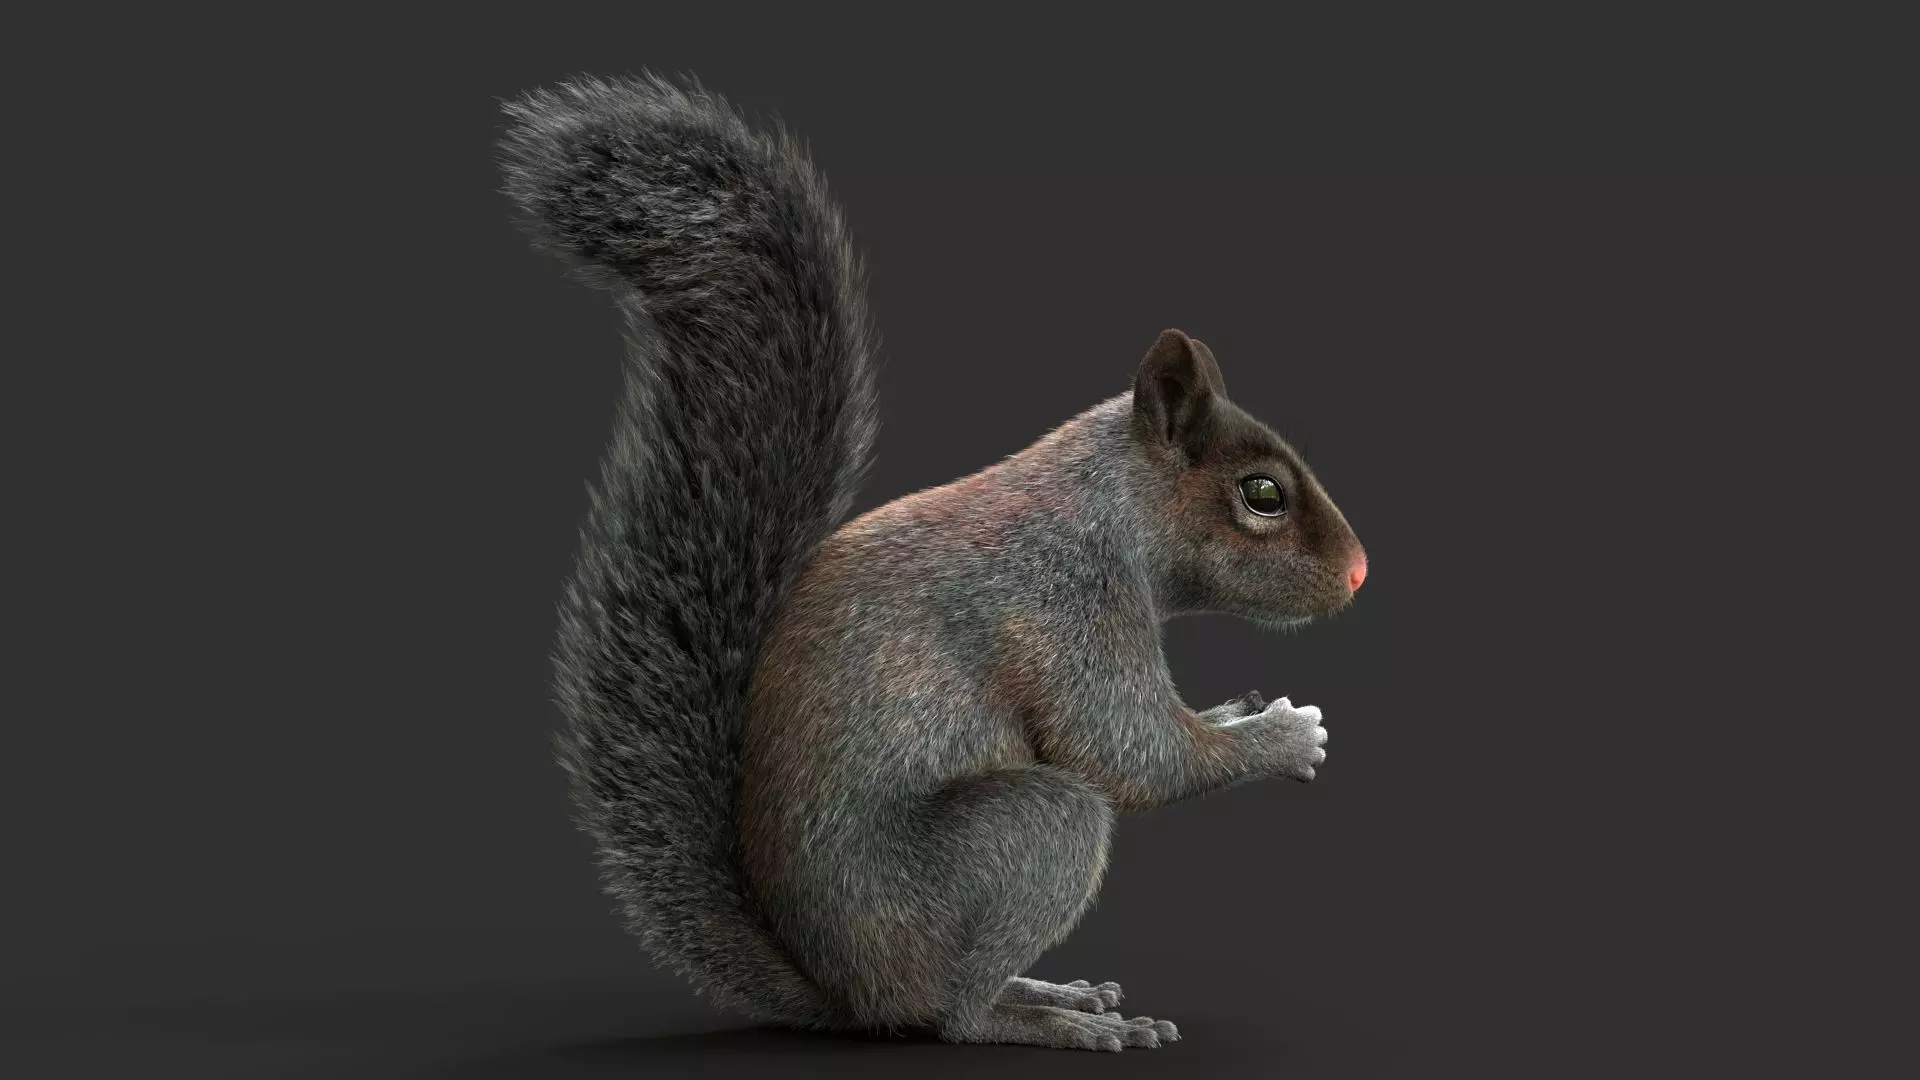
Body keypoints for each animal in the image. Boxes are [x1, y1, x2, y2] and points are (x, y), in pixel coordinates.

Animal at [499, 74, 1368, 1054]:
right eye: (1262, 495)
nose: (1360, 572)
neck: (1110, 505)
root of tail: (847, 995)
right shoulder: (1067, 602)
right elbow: (1133, 755)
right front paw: (1282, 735)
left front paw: (1235, 709)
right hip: (1020, 841)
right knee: (955, 1010)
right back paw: (1046, 1022)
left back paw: (1056, 991)